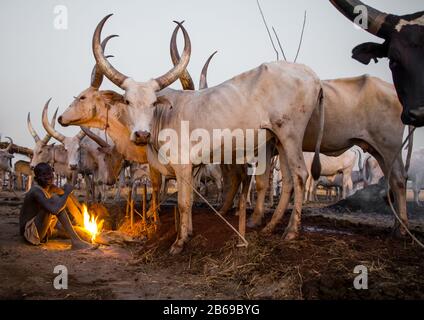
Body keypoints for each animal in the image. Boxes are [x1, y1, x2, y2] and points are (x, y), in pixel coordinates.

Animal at [85, 16, 324, 254]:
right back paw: (270, 226)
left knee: (300, 175)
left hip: (291, 135)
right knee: (288, 181)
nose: (142, 134)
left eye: (153, 103)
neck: (165, 116)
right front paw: (189, 232)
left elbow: (183, 203)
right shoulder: (191, 168)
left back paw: (291, 231)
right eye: (127, 101)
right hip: (279, 139)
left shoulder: (183, 165)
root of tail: (312, 75)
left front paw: (179, 242)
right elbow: (189, 200)